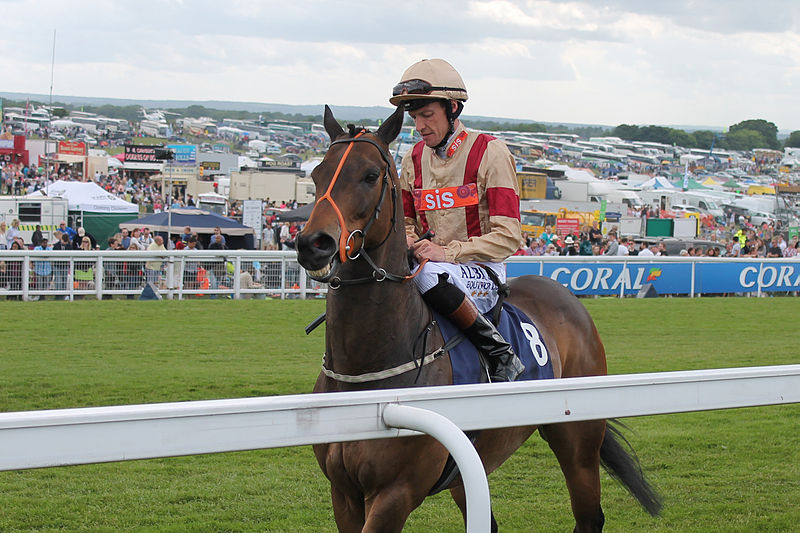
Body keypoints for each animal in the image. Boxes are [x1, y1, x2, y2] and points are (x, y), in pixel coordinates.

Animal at [296, 105, 660, 532]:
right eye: (318, 173)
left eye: (370, 175)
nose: (313, 243)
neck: (366, 378)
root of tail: (566, 298)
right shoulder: (344, 493)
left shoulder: (395, 493)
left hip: (577, 441)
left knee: (589, 516)